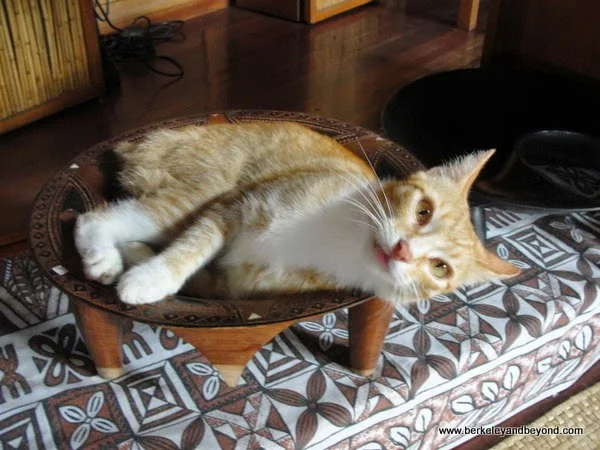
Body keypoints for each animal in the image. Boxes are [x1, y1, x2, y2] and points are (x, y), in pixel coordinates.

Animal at [74, 122, 520, 306]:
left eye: (440, 268)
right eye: (424, 211)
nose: (403, 251)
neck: (336, 240)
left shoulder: (235, 285)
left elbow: (201, 279)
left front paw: (140, 265)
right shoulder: (233, 205)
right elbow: (190, 248)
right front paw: (150, 278)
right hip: (195, 192)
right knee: (93, 218)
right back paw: (101, 255)